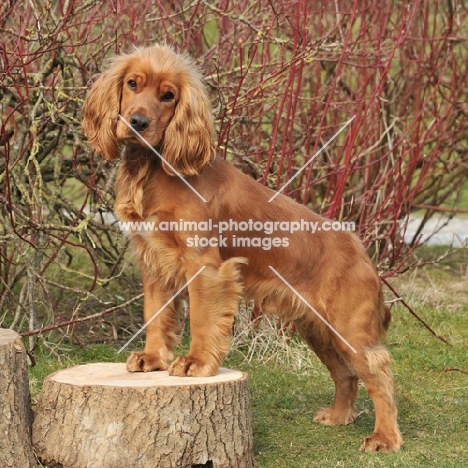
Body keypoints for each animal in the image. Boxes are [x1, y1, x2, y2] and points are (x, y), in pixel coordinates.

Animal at [80, 44, 402, 454]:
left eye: (168, 96)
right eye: (132, 84)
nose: (136, 121)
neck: (153, 167)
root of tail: (361, 250)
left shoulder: (205, 265)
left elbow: (202, 319)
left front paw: (196, 363)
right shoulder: (153, 262)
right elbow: (156, 314)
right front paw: (153, 358)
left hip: (349, 327)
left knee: (379, 372)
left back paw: (384, 437)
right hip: (317, 328)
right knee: (346, 373)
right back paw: (338, 416)